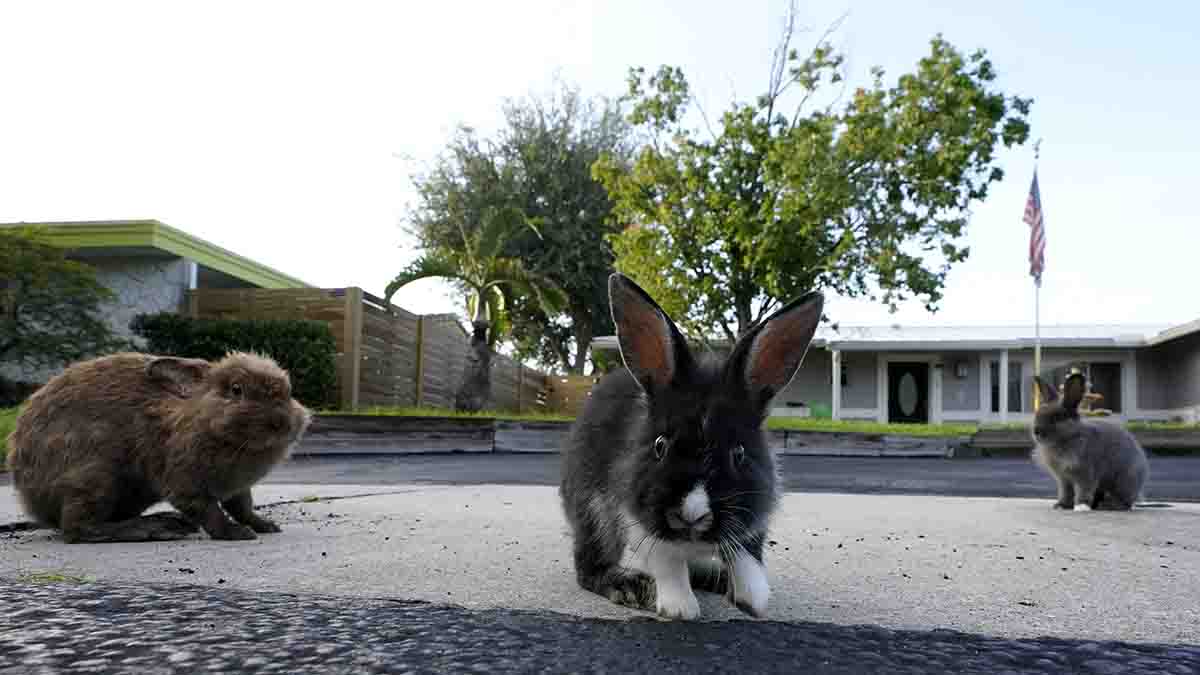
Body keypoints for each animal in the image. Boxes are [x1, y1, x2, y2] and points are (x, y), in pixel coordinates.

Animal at [4, 348, 312, 538]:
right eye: (236, 390)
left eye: (289, 391)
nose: (282, 424)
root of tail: (31, 498)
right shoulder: (184, 483)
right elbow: (210, 511)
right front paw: (236, 534)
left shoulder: (236, 487)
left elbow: (243, 508)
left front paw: (266, 526)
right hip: (95, 477)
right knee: (77, 528)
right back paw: (152, 530)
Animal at [554, 270, 820, 619]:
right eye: (659, 446)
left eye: (739, 454)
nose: (692, 515)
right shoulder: (635, 514)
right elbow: (668, 559)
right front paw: (680, 608)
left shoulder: (753, 516)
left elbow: (746, 554)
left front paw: (753, 598)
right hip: (592, 515)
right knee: (589, 568)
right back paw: (630, 585)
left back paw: (715, 578)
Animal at [1027, 369, 1147, 506]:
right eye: (1038, 414)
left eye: (1058, 417)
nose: (1036, 431)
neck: (1067, 438)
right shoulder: (1064, 479)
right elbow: (1066, 492)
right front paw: (1061, 505)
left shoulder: (1085, 475)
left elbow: (1083, 491)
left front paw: (1080, 504)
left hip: (1123, 482)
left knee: (1126, 502)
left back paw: (1110, 505)